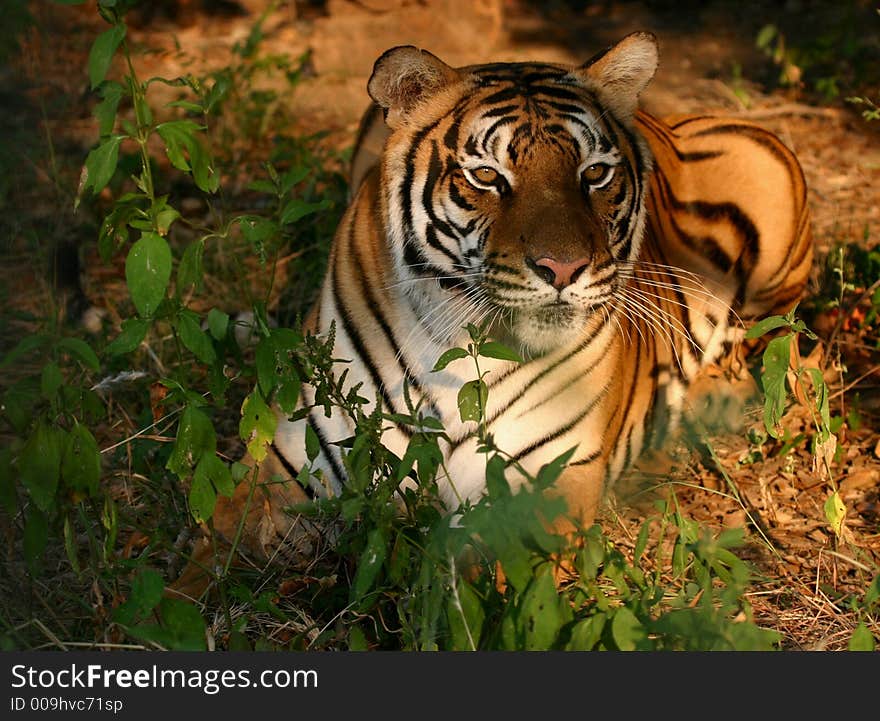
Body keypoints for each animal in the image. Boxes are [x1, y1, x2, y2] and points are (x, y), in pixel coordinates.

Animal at [177, 31, 812, 588]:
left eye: (595, 173)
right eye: (487, 176)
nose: (563, 268)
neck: (451, 349)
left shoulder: (543, 487)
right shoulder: (289, 474)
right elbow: (192, 581)